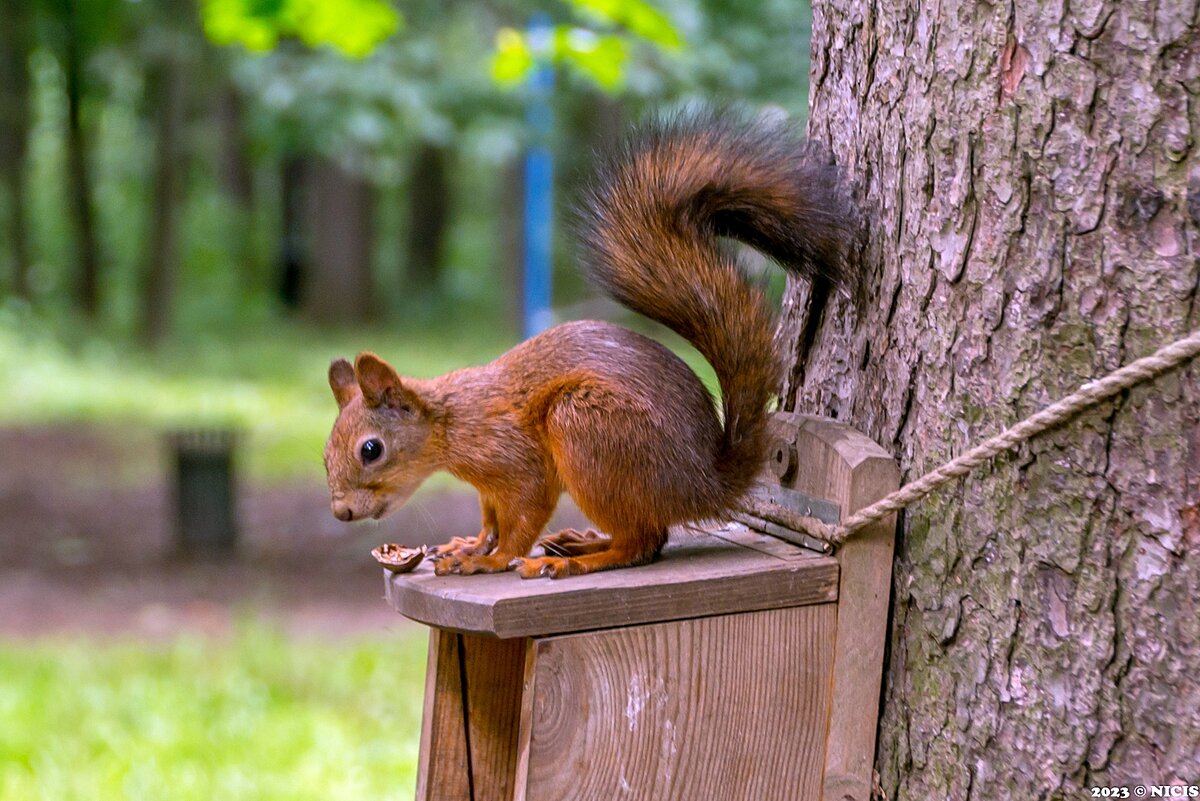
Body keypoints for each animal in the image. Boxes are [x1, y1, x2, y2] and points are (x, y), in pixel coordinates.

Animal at [326, 110, 854, 575]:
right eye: (328, 451)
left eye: (371, 449)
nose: (341, 514)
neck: (452, 422)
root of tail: (704, 485)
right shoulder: (487, 487)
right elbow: (491, 519)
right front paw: (470, 545)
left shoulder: (516, 461)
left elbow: (523, 515)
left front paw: (491, 560)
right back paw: (583, 542)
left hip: (587, 429)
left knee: (644, 542)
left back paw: (580, 561)